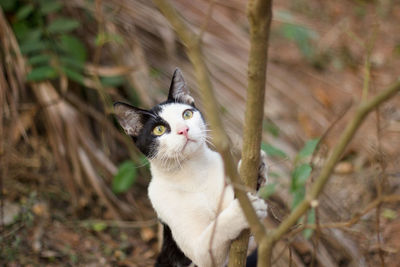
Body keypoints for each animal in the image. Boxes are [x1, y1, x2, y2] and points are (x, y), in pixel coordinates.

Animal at [113, 68, 268, 266]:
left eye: (187, 114)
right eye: (159, 130)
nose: (183, 130)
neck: (195, 172)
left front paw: (256, 169)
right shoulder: (200, 254)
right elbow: (210, 239)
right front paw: (242, 211)